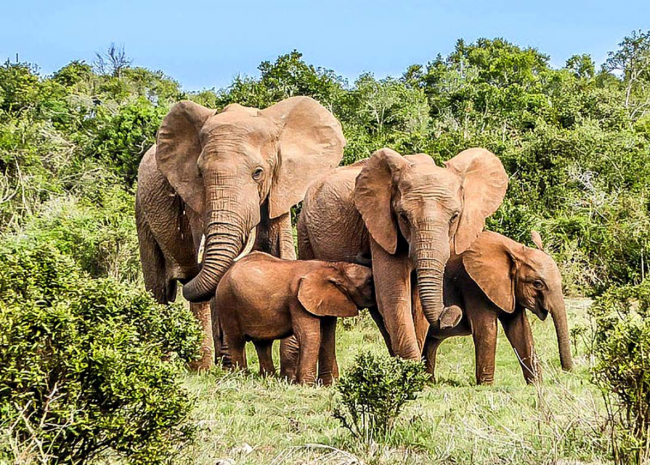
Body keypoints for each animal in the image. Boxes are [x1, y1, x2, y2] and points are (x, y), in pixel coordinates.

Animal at [136, 96, 344, 368]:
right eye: (200, 174)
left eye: (258, 173)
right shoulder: (196, 201)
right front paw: (230, 366)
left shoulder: (279, 189)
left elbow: (284, 253)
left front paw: (288, 369)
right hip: (142, 210)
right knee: (160, 290)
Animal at [215, 252, 372, 382]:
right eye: (369, 283)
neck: (333, 267)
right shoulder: (297, 300)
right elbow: (310, 336)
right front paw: (306, 386)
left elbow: (327, 337)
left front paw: (329, 385)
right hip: (227, 302)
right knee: (236, 341)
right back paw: (241, 377)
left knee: (262, 344)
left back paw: (268, 379)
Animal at [296, 147, 508, 358]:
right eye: (403, 217)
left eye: (455, 217)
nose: (451, 312)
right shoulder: (381, 227)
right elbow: (394, 296)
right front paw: (412, 367)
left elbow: (415, 305)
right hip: (304, 230)